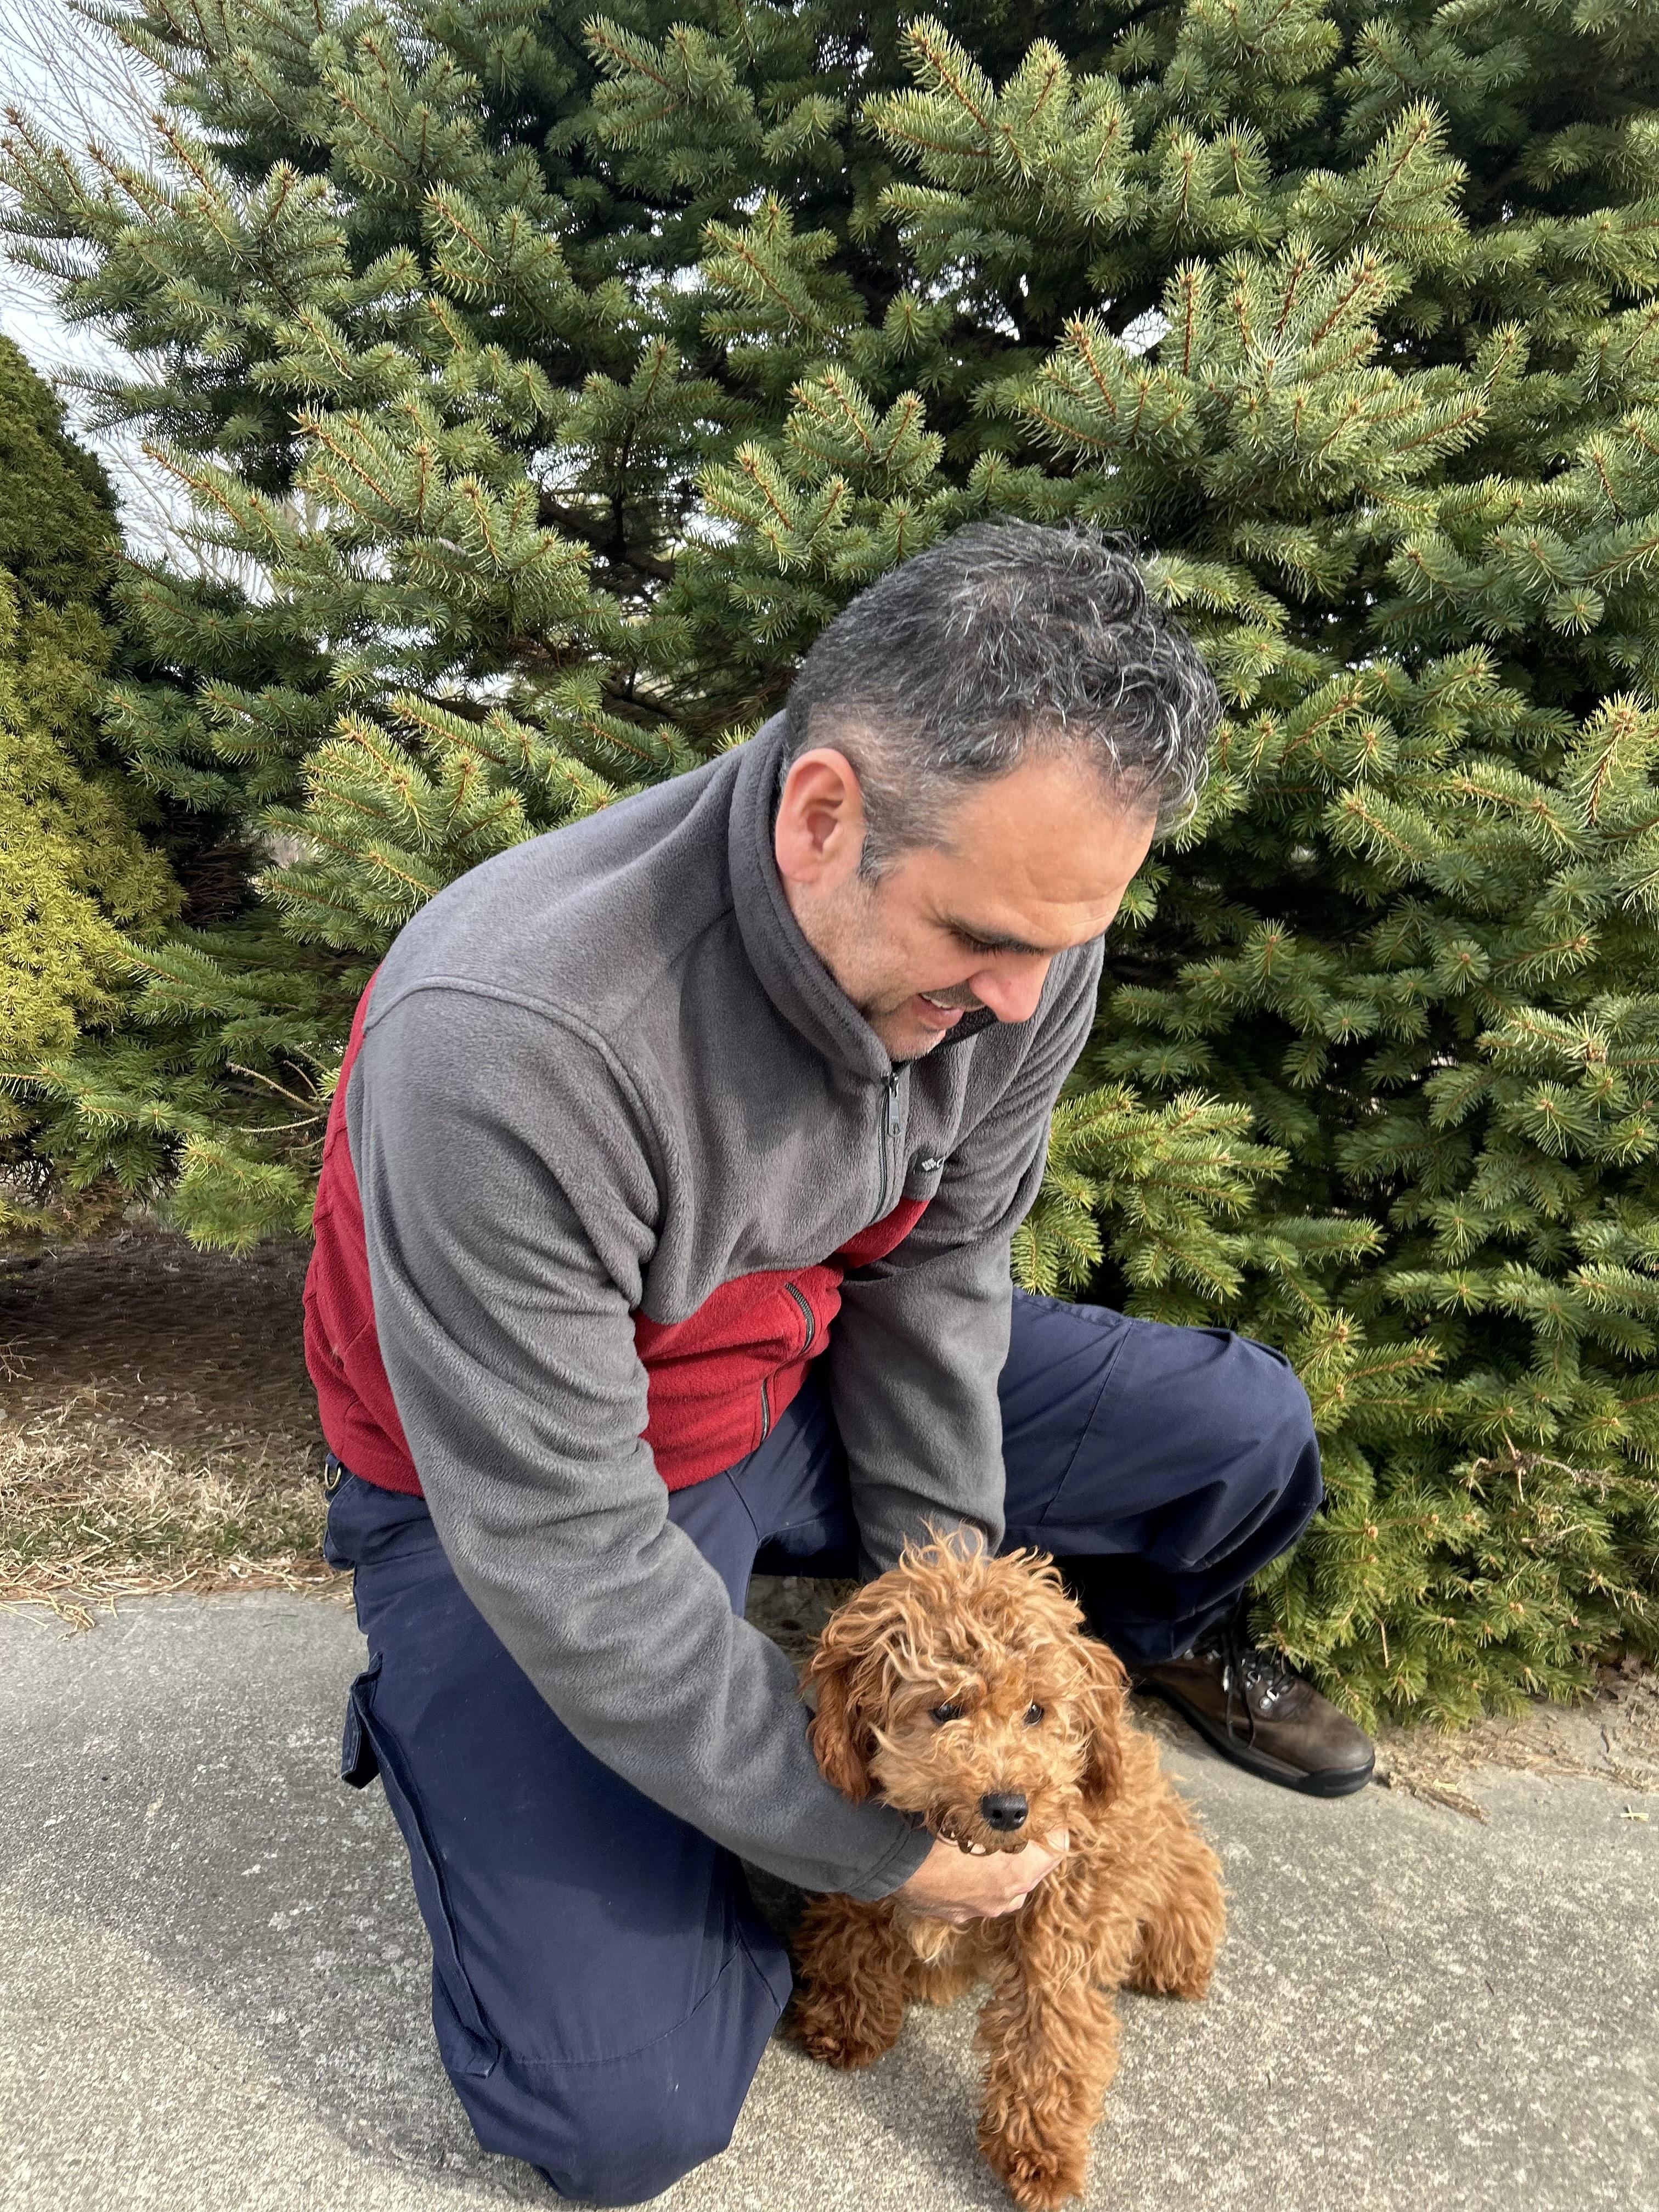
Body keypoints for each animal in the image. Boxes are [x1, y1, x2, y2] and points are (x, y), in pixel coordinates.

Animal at [789, 1535, 1226, 2210]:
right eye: (946, 1709)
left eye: (1036, 1711)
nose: (1009, 1807)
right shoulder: (874, 1875)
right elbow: (853, 1933)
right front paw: (846, 2019)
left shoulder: (1059, 1928)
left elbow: (1049, 2031)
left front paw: (1040, 2153)